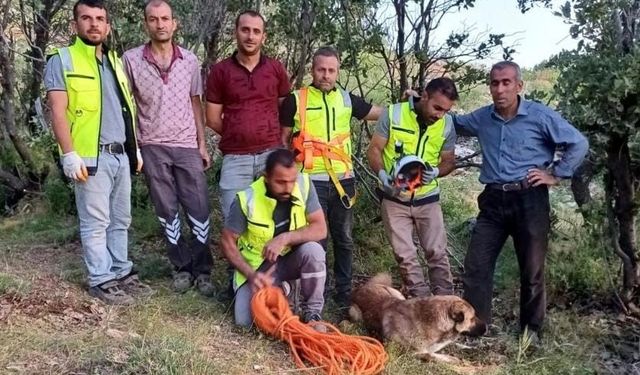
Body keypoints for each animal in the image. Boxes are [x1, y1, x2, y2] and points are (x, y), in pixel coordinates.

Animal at [350, 274, 484, 362]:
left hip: (397, 295)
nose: (486, 328)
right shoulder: (405, 352)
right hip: (354, 312)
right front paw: (451, 360)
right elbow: (429, 355)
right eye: (472, 318)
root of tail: (361, 287)